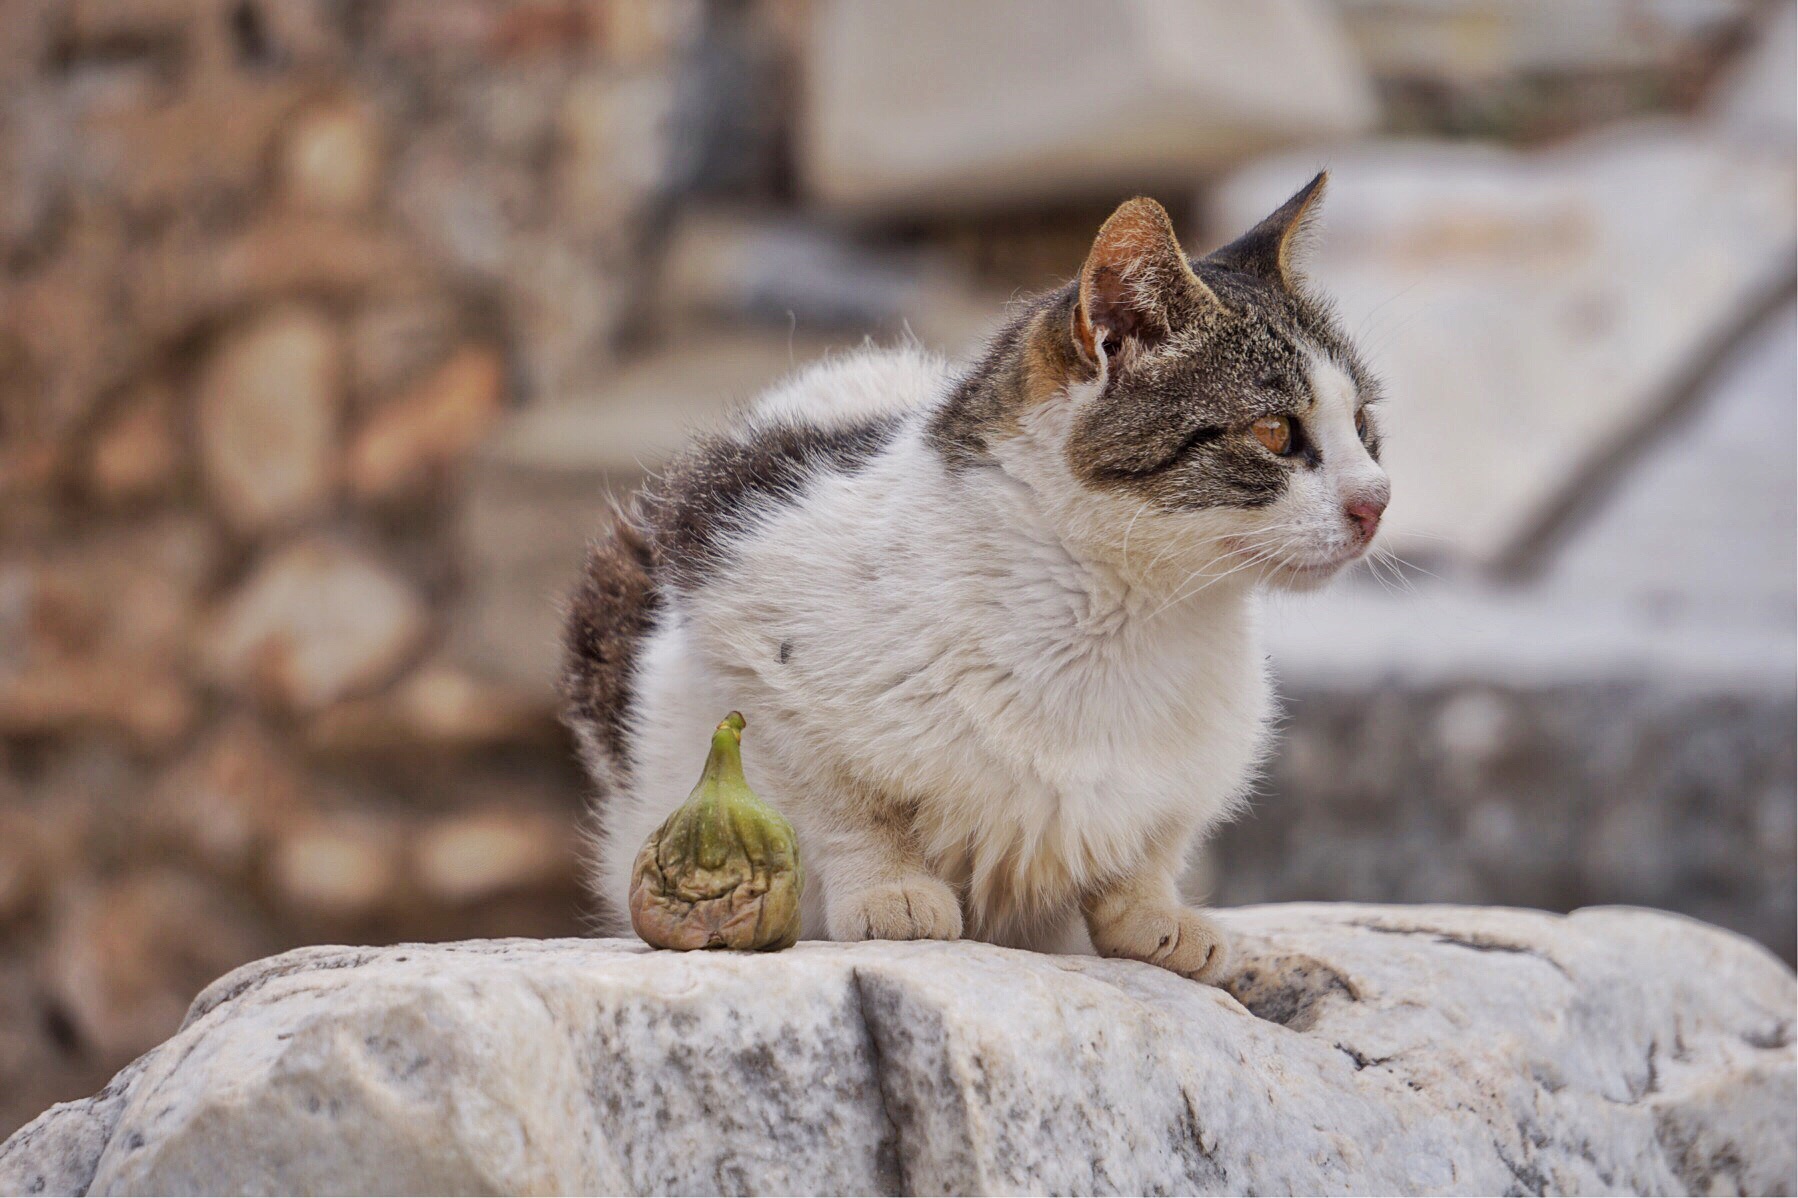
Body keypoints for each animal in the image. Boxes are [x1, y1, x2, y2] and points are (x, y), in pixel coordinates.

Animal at [560, 177, 1388, 978]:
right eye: (1274, 432)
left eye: (1365, 427)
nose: (1376, 500)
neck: (1122, 618)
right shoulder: (743, 628)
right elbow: (841, 798)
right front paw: (892, 890)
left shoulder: (1203, 760)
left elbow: (1154, 837)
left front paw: (1153, 914)